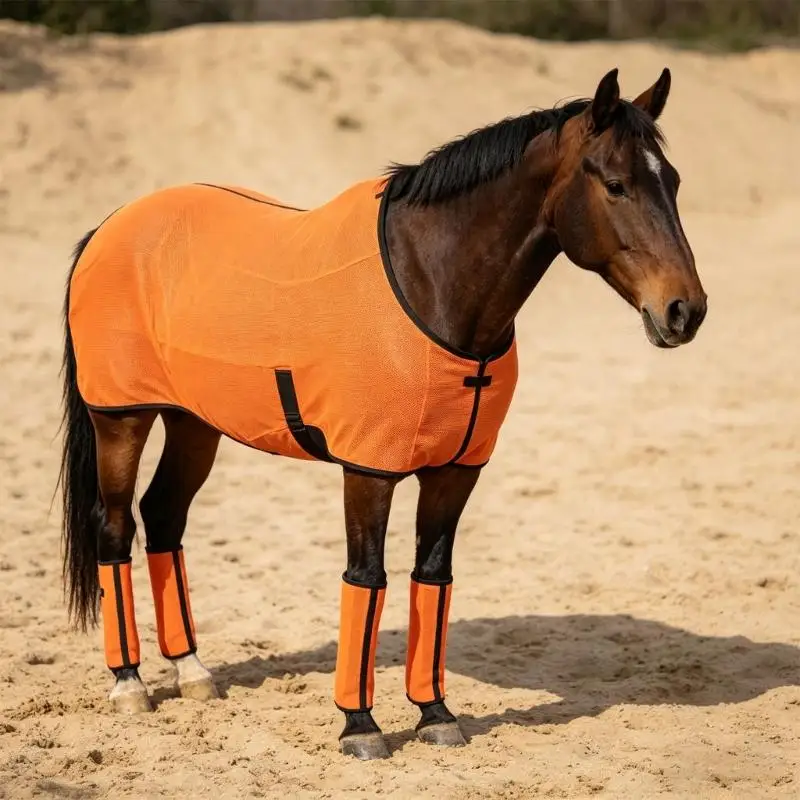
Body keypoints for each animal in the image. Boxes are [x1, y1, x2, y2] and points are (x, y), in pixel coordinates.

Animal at [58, 67, 707, 760]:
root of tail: (108, 228)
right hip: (121, 419)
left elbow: (432, 577)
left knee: (164, 517)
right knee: (116, 528)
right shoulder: (367, 471)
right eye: (615, 184)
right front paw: (360, 725)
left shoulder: (455, 472)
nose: (685, 311)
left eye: (672, 181)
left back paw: (192, 671)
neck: (431, 286)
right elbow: (366, 579)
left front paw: (435, 714)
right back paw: (128, 683)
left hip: (194, 421)